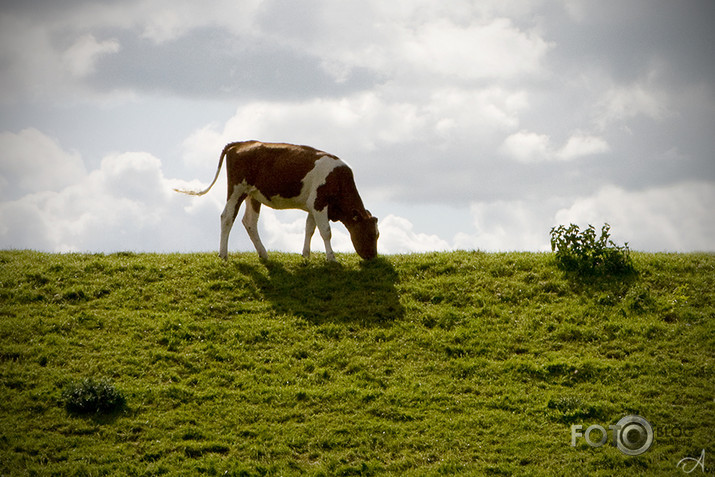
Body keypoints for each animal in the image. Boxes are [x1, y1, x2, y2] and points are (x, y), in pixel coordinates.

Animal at [175, 139, 380, 262]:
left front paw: (306, 255)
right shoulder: (319, 203)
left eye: (377, 235)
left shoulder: (313, 206)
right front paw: (331, 258)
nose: (373, 257)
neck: (338, 179)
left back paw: (263, 253)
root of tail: (241, 143)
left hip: (252, 195)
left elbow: (309, 229)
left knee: (249, 222)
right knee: (227, 217)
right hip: (236, 189)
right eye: (371, 234)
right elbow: (326, 232)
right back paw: (223, 254)